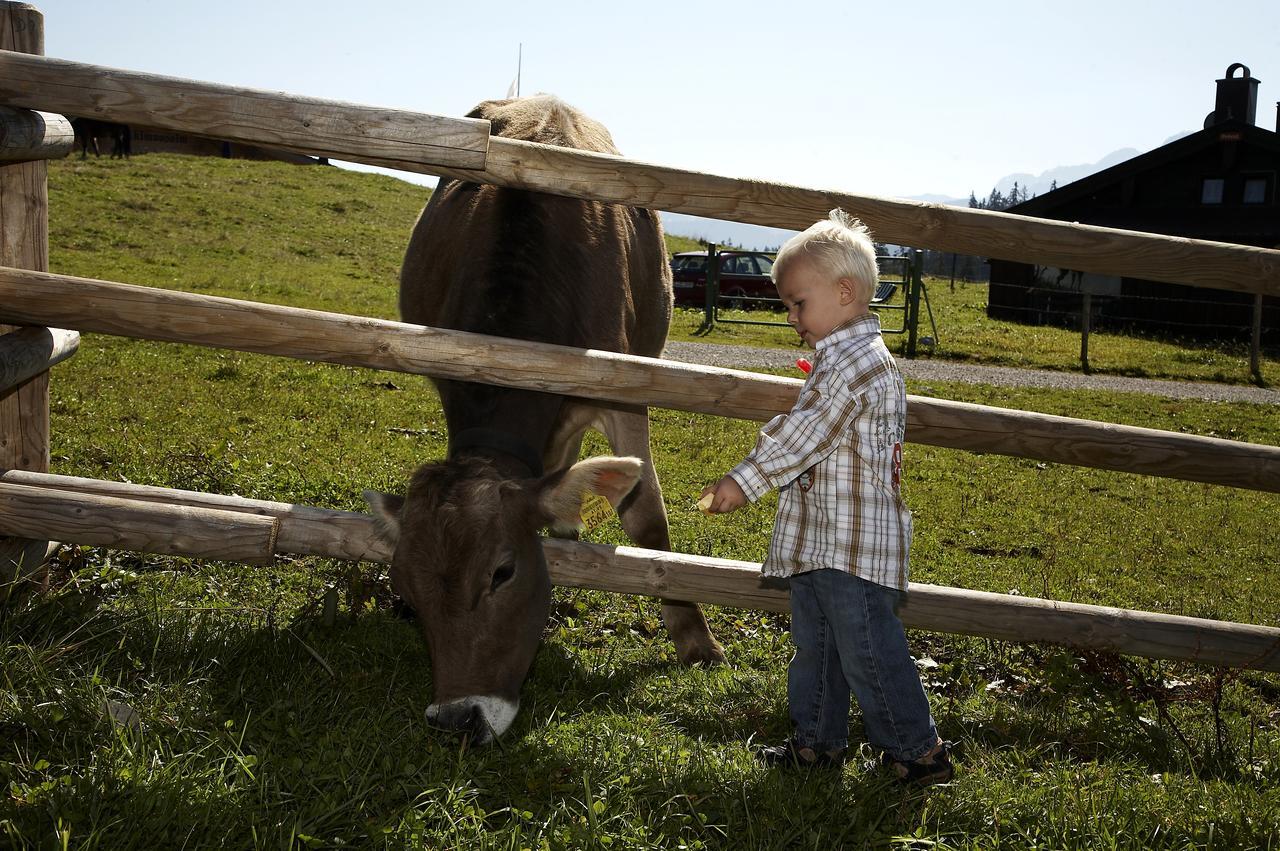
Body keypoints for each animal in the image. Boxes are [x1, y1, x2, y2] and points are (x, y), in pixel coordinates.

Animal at [366, 95, 727, 742]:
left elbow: (647, 519)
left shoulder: (622, 391)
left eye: (502, 573)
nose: (458, 719)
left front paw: (695, 639)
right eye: (406, 590)